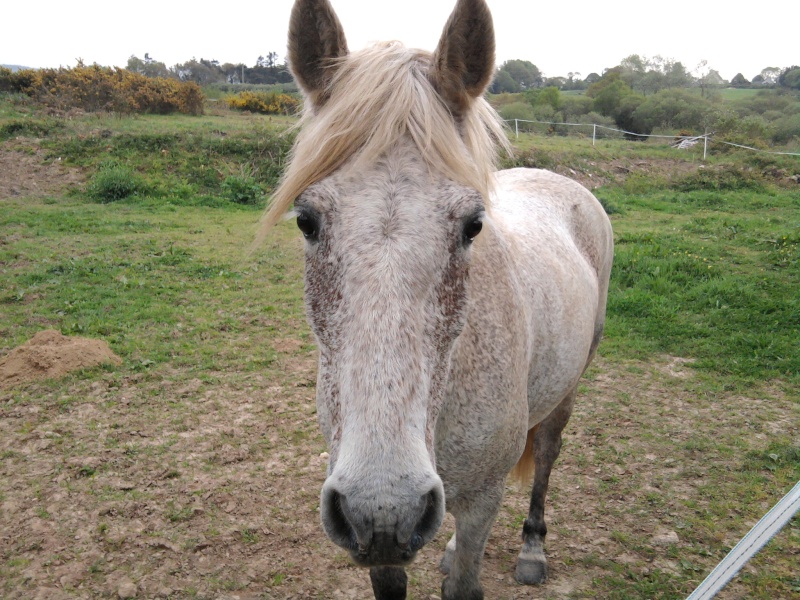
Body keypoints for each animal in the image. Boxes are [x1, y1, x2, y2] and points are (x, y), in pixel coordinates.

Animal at [260, 0, 612, 596]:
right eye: (306, 220)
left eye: (473, 226)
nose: (386, 502)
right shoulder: (378, 535)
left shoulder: (481, 500)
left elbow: (466, 579)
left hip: (567, 389)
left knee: (546, 455)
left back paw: (533, 547)